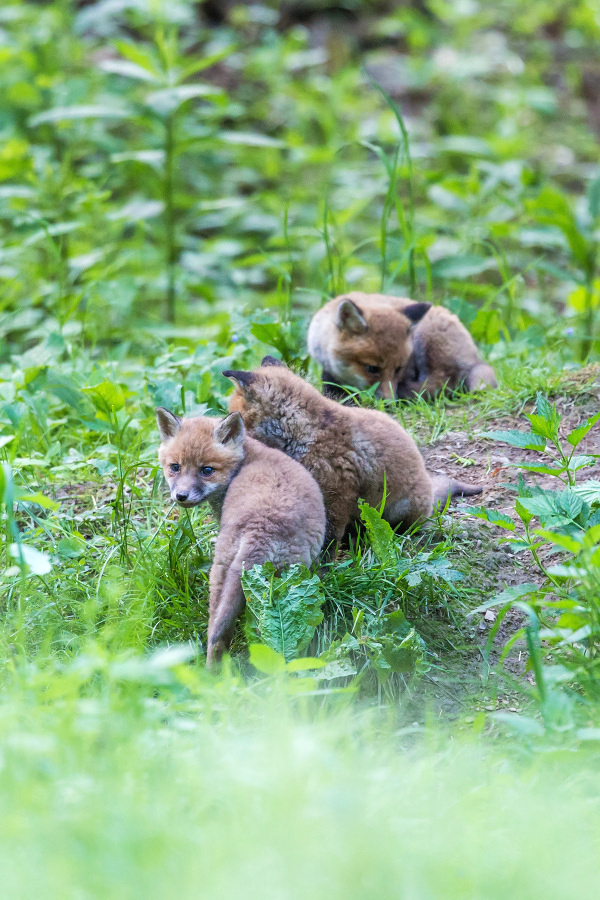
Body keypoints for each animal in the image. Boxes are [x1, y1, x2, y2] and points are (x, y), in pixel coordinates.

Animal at [155, 408, 324, 668]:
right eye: (175, 467)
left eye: (206, 470)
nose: (181, 496)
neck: (247, 457)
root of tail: (262, 528)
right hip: (281, 585)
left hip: (221, 573)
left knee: (216, 630)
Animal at [308, 292, 494, 400]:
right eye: (372, 368)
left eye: (398, 369)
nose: (389, 403)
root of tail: (475, 359)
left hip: (427, 339)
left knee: (442, 383)